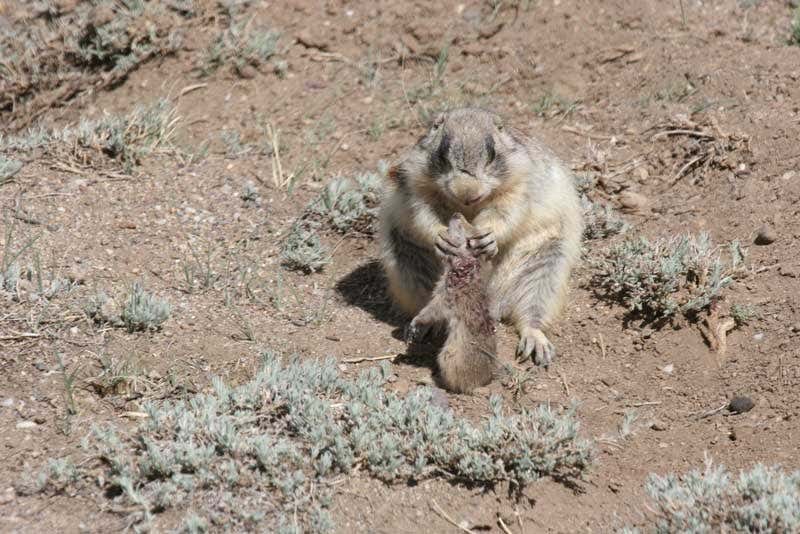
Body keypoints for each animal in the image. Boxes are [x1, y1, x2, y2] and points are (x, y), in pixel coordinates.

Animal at [379, 107, 583, 371]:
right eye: (441, 154)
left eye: (492, 155)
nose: (467, 193)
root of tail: (491, 304)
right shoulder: (415, 184)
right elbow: (423, 211)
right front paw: (441, 237)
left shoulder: (520, 183)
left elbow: (508, 210)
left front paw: (488, 237)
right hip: (408, 266)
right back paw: (424, 324)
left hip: (547, 268)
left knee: (533, 312)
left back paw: (536, 341)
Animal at [405, 213, 496, 393]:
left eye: (461, 228)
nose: (457, 214)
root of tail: (477, 385)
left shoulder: (446, 295)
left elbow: (431, 311)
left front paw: (414, 325)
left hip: (446, 357)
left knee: (454, 385)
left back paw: (429, 380)